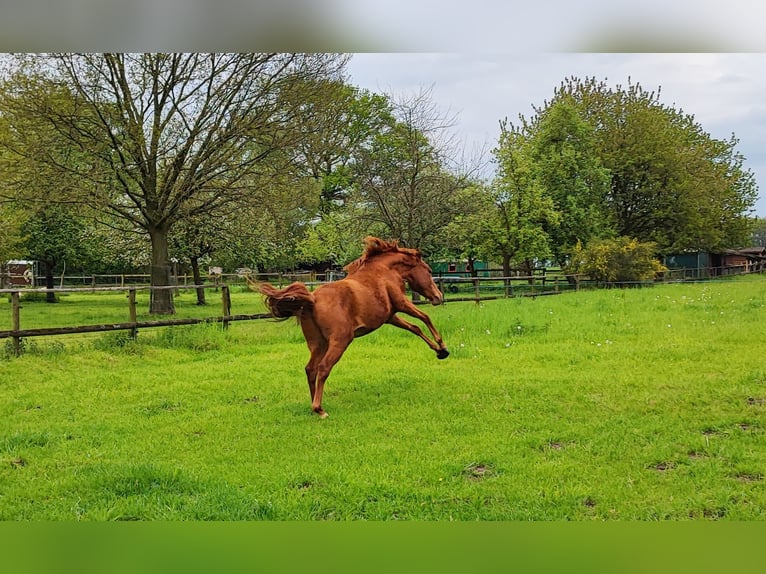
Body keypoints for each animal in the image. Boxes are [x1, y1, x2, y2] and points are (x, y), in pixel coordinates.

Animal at [259, 236, 449, 418]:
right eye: (429, 271)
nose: (438, 297)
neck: (383, 271)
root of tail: (312, 299)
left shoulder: (390, 317)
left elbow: (415, 328)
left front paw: (439, 351)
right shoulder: (402, 303)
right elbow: (425, 318)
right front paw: (443, 348)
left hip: (318, 344)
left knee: (310, 369)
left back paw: (314, 404)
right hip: (340, 341)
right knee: (323, 368)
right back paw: (319, 409)